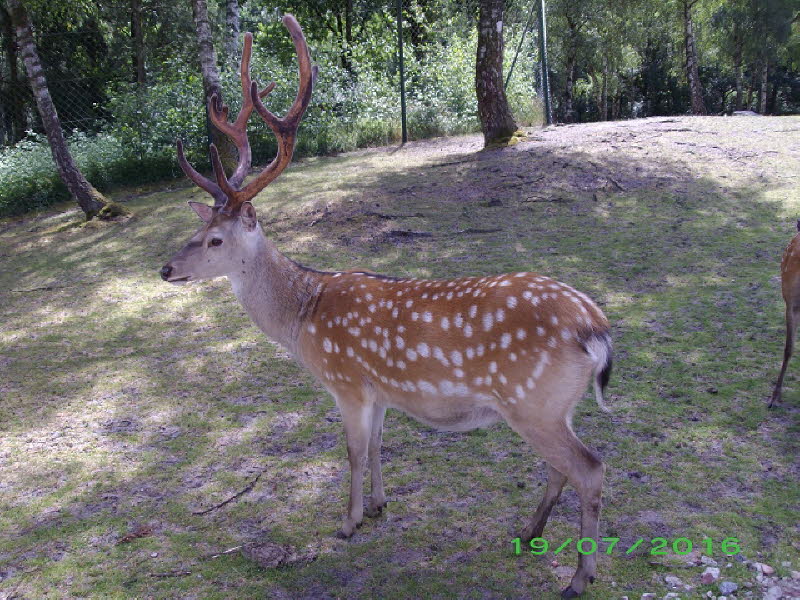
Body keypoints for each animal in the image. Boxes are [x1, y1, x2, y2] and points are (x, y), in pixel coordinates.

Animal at [161, 14, 612, 596]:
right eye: (197, 230)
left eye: (215, 240)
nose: (166, 269)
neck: (303, 317)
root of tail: (597, 329)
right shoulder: (377, 389)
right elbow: (377, 445)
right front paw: (378, 505)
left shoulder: (347, 380)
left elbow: (352, 450)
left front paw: (348, 522)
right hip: (556, 405)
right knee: (563, 467)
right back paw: (528, 532)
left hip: (532, 401)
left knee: (590, 467)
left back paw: (580, 575)